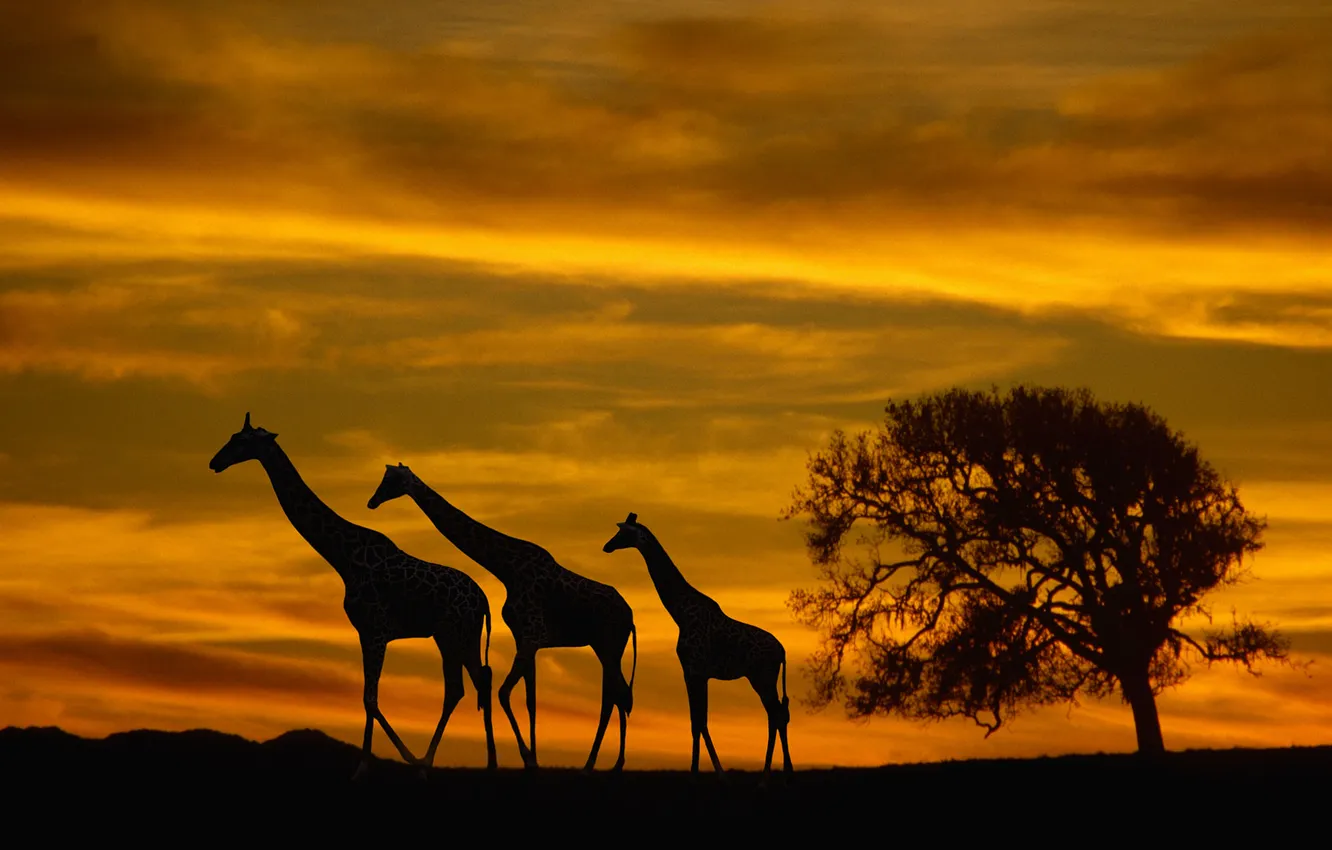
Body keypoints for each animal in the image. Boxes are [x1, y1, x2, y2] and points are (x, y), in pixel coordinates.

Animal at [208, 413, 498, 780]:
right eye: (233, 436)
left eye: (242, 441)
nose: (215, 462)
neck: (344, 558)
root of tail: (484, 600)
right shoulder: (363, 631)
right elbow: (366, 697)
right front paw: (381, 763)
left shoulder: (376, 630)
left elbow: (370, 698)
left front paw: (371, 765)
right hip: (455, 635)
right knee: (469, 684)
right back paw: (464, 764)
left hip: (455, 632)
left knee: (467, 685)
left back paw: (447, 763)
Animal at [367, 463, 637, 772]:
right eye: (384, 478)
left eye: (393, 481)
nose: (372, 501)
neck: (506, 569)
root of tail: (631, 617)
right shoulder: (527, 639)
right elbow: (531, 699)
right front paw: (534, 759)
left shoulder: (531, 636)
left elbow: (505, 693)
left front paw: (528, 757)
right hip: (605, 648)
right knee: (617, 694)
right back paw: (607, 762)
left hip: (609, 646)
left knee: (617, 695)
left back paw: (604, 763)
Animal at [602, 512, 793, 779]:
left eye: (623, 532)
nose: (607, 546)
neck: (680, 613)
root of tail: (783, 652)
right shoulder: (698, 674)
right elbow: (699, 721)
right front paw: (710, 770)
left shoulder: (693, 671)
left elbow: (697, 722)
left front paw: (702, 772)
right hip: (762, 679)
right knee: (778, 715)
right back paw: (783, 772)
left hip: (762, 678)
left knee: (776, 715)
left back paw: (770, 775)